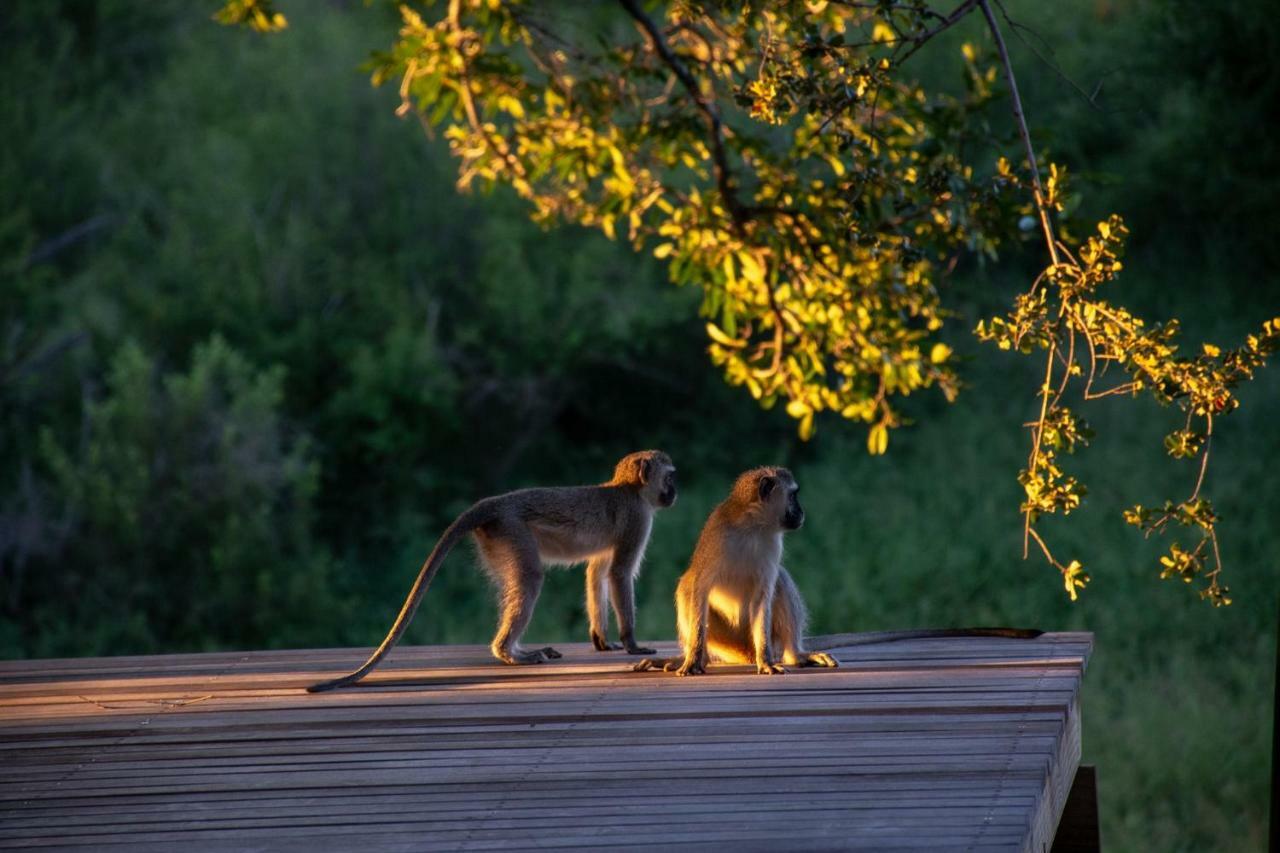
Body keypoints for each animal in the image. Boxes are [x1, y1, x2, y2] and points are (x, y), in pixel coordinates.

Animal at [308, 445, 675, 691]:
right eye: (670, 477)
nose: (674, 492)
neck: (629, 489)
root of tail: (494, 504)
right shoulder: (637, 518)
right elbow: (619, 573)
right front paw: (631, 643)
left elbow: (596, 573)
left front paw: (602, 640)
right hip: (512, 530)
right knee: (531, 577)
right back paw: (510, 653)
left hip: (498, 540)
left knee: (518, 582)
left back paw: (515, 649)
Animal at [632, 461, 834, 676]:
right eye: (793, 496)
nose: (801, 512)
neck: (753, 526)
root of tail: (745, 652)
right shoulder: (716, 535)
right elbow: (700, 588)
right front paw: (693, 659)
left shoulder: (773, 545)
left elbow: (762, 596)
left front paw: (766, 661)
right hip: (727, 639)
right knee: (686, 586)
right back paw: (698, 658)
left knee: (780, 578)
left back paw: (795, 655)